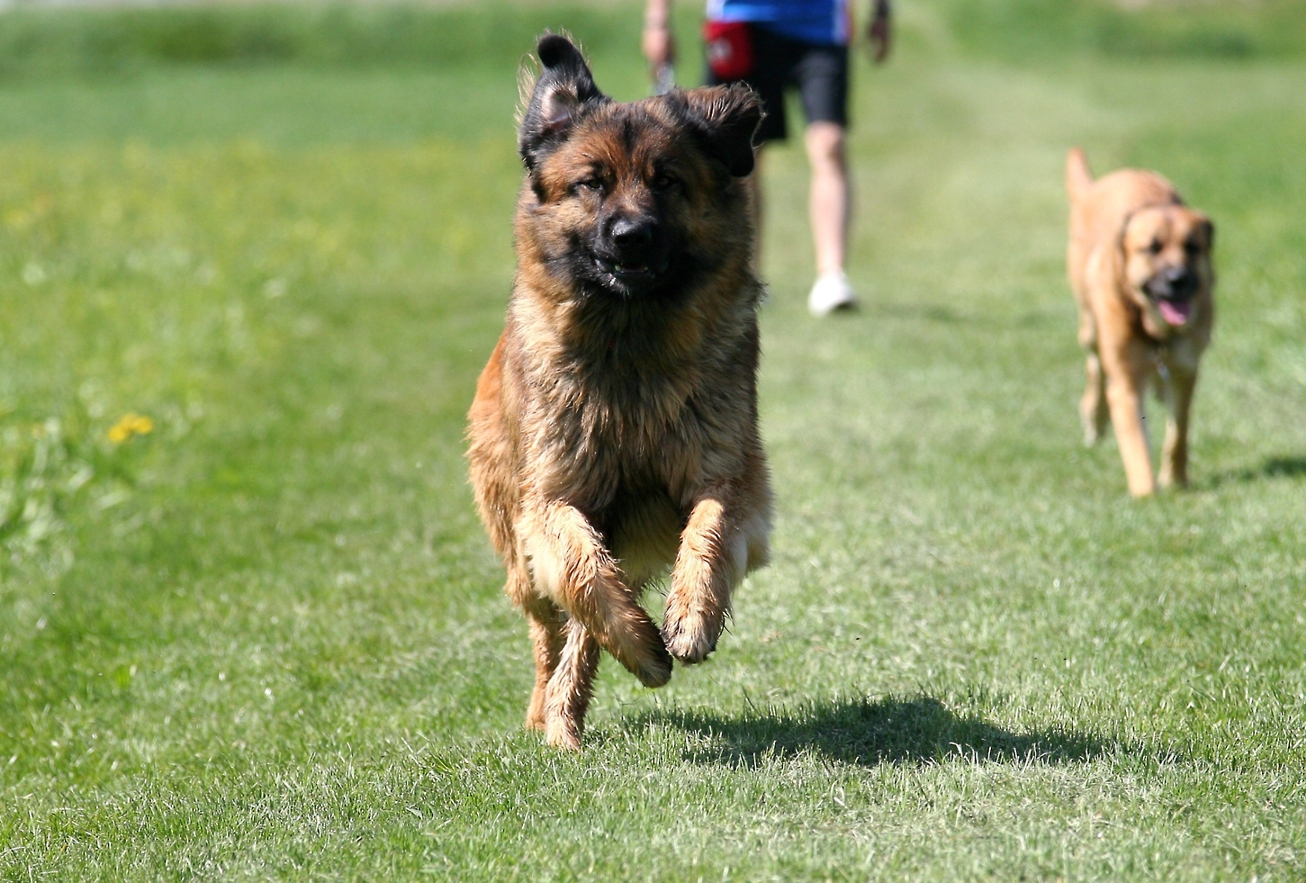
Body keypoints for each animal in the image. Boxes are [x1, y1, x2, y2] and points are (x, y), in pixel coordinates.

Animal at [464, 36, 767, 752]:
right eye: (592, 183)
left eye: (668, 181)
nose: (631, 236)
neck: (630, 347)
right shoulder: (551, 498)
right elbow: (582, 569)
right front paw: (644, 645)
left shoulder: (727, 475)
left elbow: (709, 532)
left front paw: (690, 618)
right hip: (520, 549)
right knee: (555, 627)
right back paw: (552, 719)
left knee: (582, 625)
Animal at [1070, 148, 1211, 498]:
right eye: (1152, 248)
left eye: (1192, 247)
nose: (1178, 280)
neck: (1155, 329)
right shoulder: (1126, 382)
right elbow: (1135, 442)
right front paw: (1147, 496)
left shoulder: (1185, 370)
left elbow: (1178, 433)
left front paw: (1175, 481)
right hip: (1090, 327)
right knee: (1094, 367)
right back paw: (1094, 417)